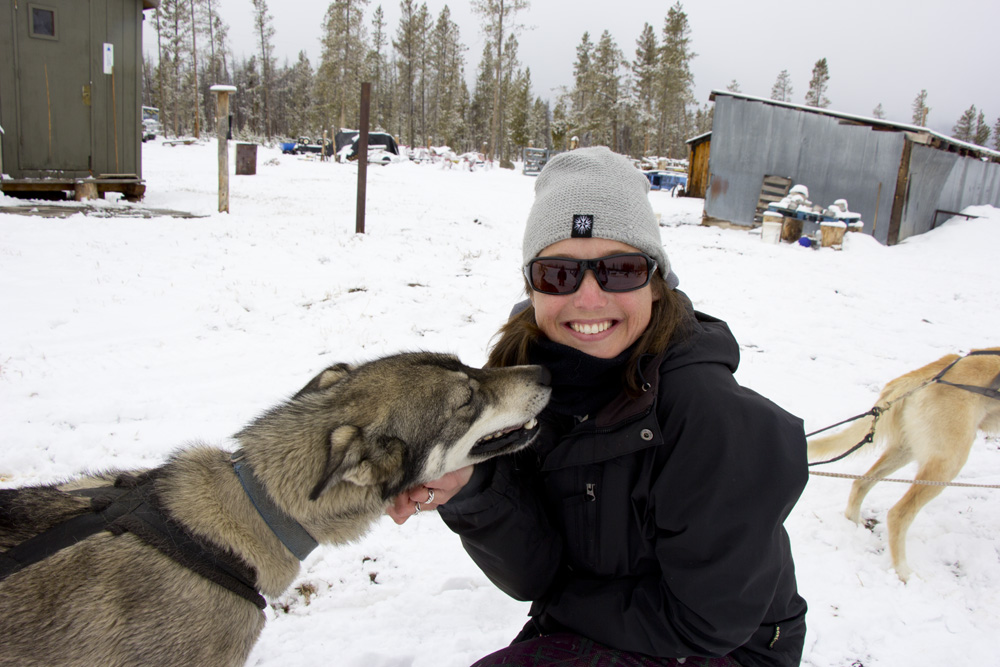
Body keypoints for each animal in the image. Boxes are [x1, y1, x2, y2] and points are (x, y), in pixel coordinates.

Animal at [808, 350, 1000, 580]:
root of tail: (931, 373)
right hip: (948, 463)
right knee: (898, 514)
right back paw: (903, 571)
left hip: (906, 449)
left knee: (860, 482)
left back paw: (853, 521)